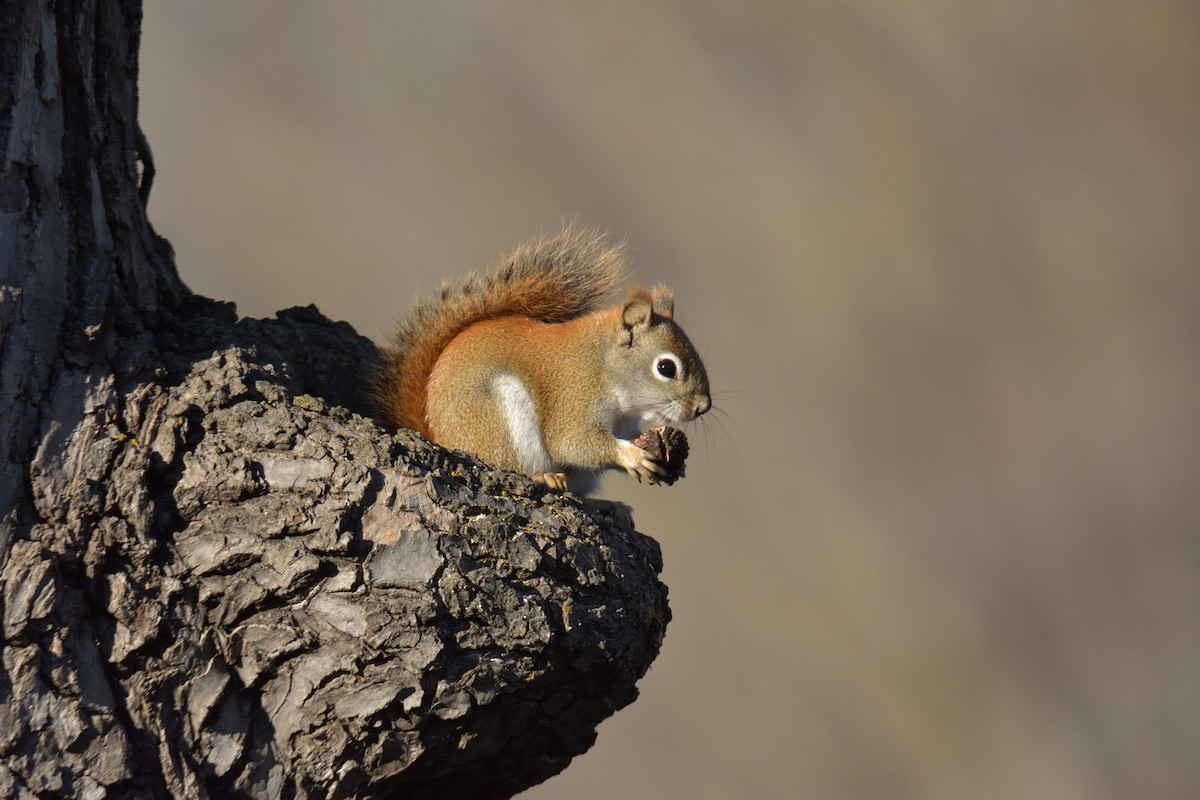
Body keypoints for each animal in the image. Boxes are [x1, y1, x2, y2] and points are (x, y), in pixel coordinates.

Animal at [373, 229, 711, 496]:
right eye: (666, 368)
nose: (702, 407)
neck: (602, 366)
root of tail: (434, 433)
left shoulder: (625, 423)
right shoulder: (574, 397)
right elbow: (572, 442)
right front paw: (632, 457)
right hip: (497, 419)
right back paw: (545, 476)